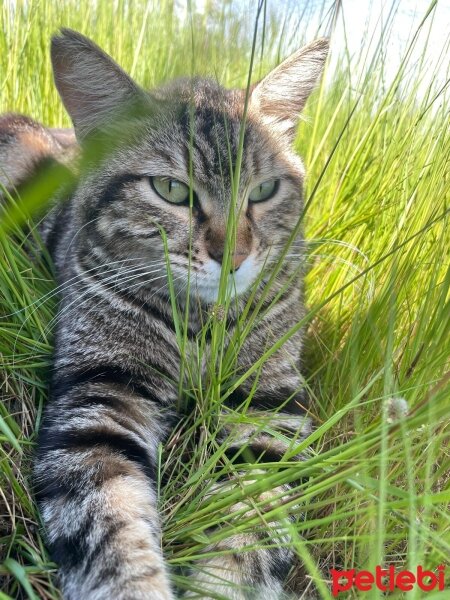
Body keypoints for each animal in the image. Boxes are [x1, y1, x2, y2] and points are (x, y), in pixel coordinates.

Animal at [1, 29, 328, 600]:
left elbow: (254, 525)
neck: (202, 322)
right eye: (171, 190)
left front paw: (223, 585)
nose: (234, 256)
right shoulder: (102, 392)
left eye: (264, 190)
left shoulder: (268, 409)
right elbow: (110, 524)